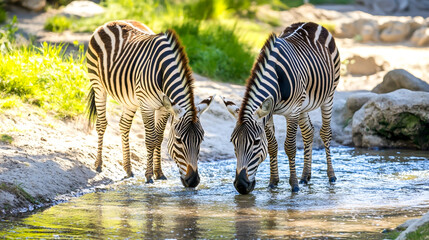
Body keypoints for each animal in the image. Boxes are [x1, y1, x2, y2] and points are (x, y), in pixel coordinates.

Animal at [87, 20, 214, 188]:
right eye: (179, 140)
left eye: (201, 140)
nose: (193, 181)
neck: (163, 71)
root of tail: (110, 22)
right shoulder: (147, 106)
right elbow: (150, 140)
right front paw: (148, 176)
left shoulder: (164, 108)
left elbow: (159, 138)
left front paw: (159, 173)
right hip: (98, 85)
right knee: (102, 123)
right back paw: (99, 164)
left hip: (130, 99)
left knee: (124, 125)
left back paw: (128, 169)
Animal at [222, 22, 340, 194]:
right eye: (233, 142)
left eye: (256, 142)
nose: (241, 186)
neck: (276, 78)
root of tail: (312, 23)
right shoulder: (269, 113)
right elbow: (272, 146)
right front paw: (273, 182)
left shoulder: (292, 112)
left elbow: (289, 147)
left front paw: (294, 185)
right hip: (304, 105)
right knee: (308, 132)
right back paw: (305, 176)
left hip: (329, 96)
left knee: (325, 133)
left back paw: (331, 176)